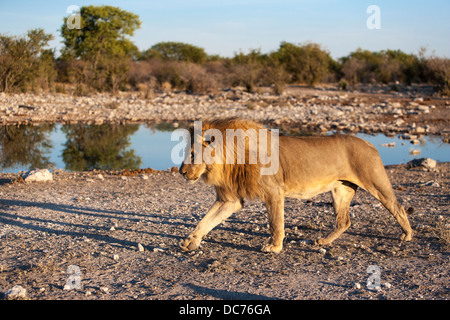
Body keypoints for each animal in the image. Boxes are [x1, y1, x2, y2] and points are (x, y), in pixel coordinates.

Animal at [178, 117, 412, 252]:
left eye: (193, 154)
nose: (181, 172)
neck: (230, 158)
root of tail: (369, 143)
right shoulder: (230, 199)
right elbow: (205, 221)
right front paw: (191, 242)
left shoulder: (273, 192)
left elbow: (275, 223)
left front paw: (274, 247)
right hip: (340, 190)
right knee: (344, 222)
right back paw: (323, 242)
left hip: (375, 181)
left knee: (397, 207)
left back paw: (408, 235)